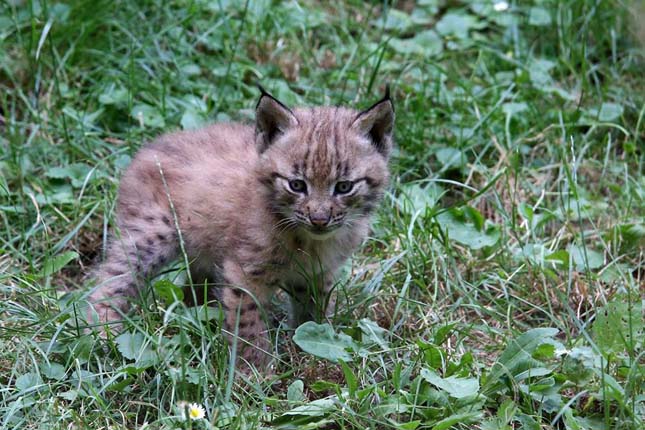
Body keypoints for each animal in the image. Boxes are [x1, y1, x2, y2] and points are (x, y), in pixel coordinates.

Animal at [88, 85, 392, 368]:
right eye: (296, 185)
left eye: (344, 187)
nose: (319, 219)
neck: (309, 239)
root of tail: (148, 146)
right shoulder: (245, 272)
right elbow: (248, 325)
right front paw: (255, 375)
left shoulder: (317, 273)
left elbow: (314, 313)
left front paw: (311, 353)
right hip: (153, 235)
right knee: (110, 281)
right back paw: (103, 334)